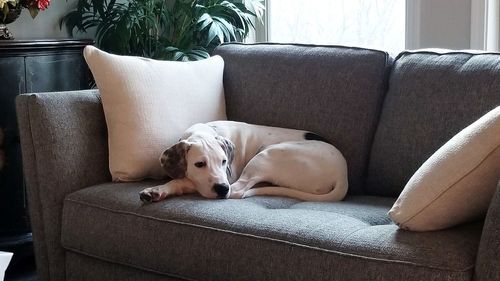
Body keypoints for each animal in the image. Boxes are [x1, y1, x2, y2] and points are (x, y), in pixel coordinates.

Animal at [138, 120, 348, 201]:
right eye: (199, 164)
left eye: (224, 162)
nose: (222, 189)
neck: (205, 131)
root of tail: (343, 175)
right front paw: (158, 190)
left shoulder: (228, 178)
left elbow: (185, 181)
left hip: (266, 155)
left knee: (239, 190)